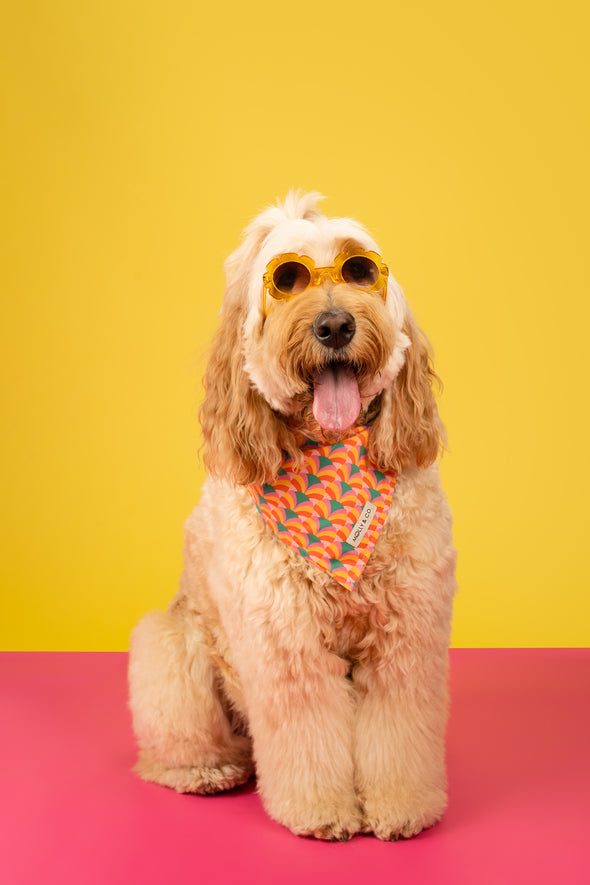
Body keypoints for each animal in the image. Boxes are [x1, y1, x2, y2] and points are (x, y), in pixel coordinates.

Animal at [130, 190, 458, 840]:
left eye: (359, 271)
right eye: (287, 281)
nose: (334, 325)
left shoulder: (408, 634)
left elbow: (399, 734)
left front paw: (401, 806)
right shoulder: (285, 640)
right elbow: (308, 737)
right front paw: (322, 811)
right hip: (171, 646)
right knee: (174, 746)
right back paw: (205, 770)